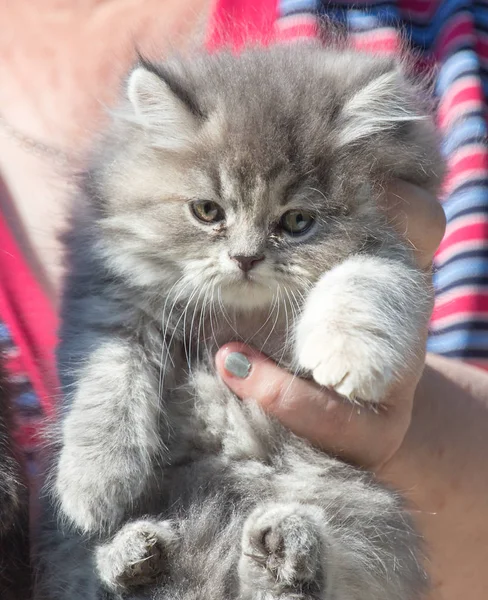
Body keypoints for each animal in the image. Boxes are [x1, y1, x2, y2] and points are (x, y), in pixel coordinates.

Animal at [37, 43, 442, 600]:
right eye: (207, 211)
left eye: (297, 222)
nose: (246, 258)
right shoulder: (110, 299)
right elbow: (107, 382)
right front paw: (94, 482)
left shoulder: (392, 249)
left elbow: (363, 278)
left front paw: (345, 357)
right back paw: (135, 556)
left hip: (359, 516)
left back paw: (282, 556)